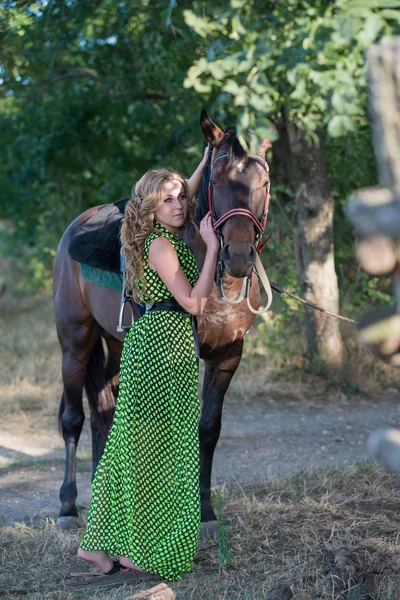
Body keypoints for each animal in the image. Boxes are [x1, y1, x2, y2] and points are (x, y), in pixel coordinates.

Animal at [53, 110, 270, 536]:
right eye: (217, 181)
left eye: (263, 184)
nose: (238, 257)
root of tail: (75, 228)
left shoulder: (228, 356)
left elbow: (208, 429)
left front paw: (205, 512)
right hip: (75, 342)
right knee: (73, 418)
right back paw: (68, 506)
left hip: (117, 344)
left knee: (105, 412)